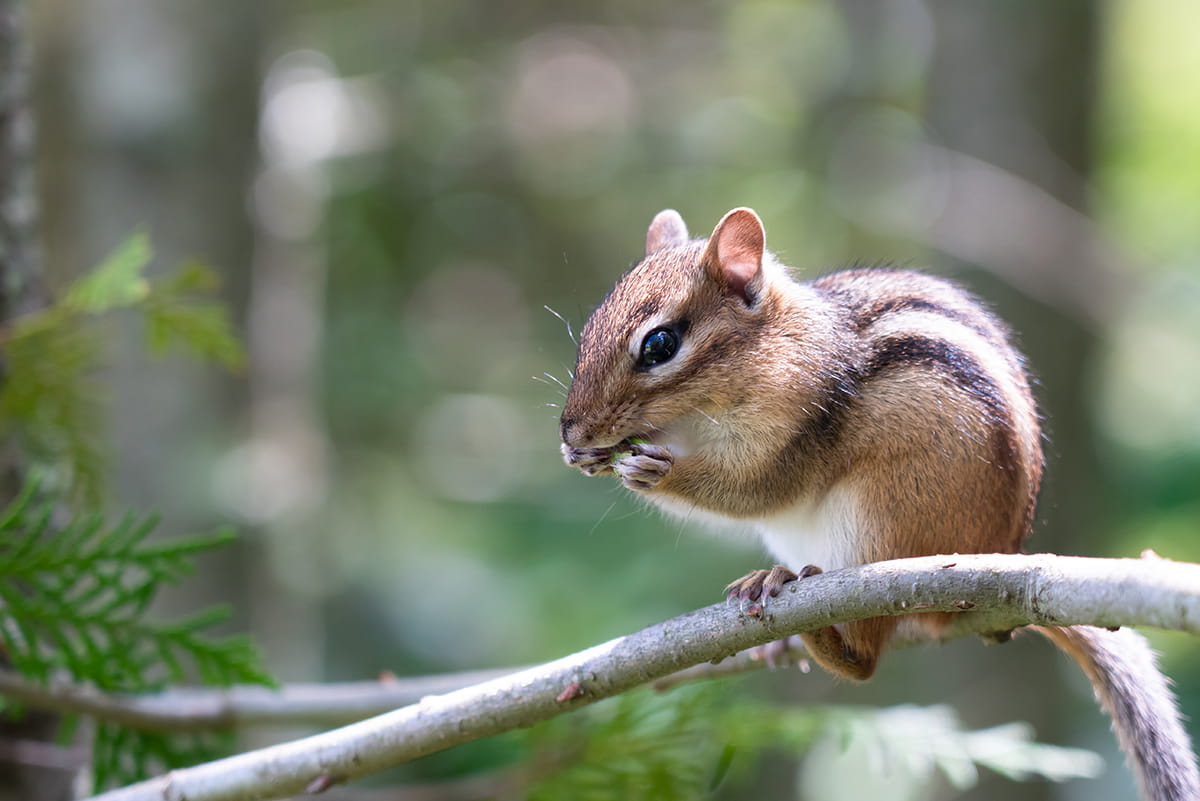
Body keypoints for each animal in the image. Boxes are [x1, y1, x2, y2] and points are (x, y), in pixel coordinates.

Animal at [559, 207, 1200, 801]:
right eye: (588, 332)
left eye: (659, 345)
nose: (571, 432)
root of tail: (1001, 557)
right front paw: (593, 457)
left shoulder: (798, 427)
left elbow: (753, 489)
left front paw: (652, 470)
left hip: (877, 530)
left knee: (866, 660)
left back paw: (804, 614)